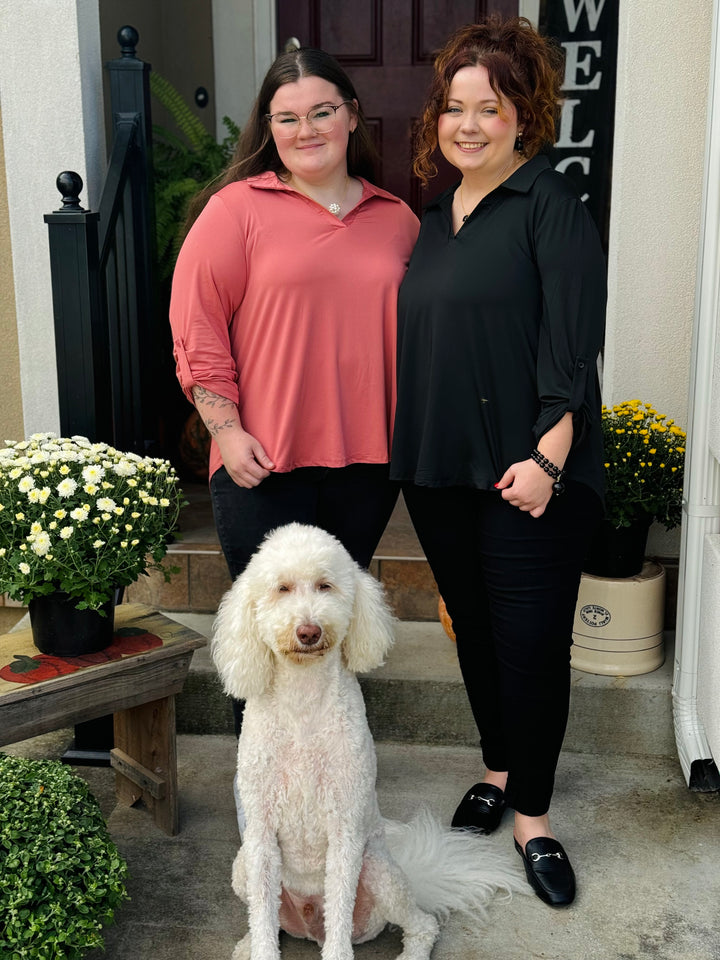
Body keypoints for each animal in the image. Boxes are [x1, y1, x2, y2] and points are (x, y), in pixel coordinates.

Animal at [211, 524, 524, 960]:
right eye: (282, 588)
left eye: (325, 585)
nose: (309, 631)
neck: (302, 702)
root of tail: (310, 925)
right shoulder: (260, 833)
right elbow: (262, 922)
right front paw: (258, 951)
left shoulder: (345, 831)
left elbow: (341, 914)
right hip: (243, 867)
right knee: (266, 918)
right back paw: (245, 945)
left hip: (378, 870)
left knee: (422, 924)